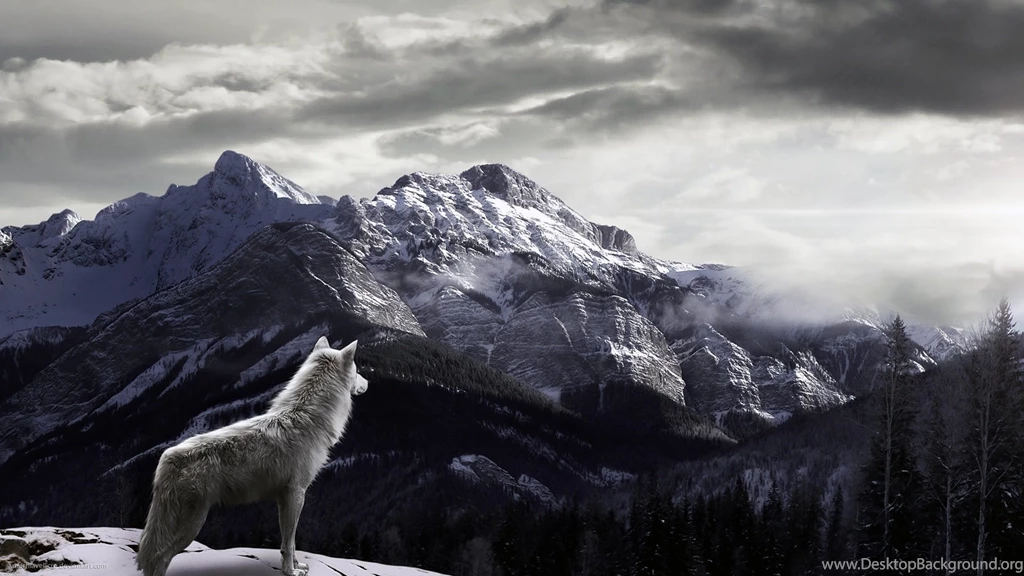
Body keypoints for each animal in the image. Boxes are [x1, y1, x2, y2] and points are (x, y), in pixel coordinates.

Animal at [136, 336, 368, 576]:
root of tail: (167, 457)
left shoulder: (284, 498)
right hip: (192, 525)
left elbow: (289, 542)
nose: (368, 382)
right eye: (358, 371)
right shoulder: (297, 493)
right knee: (159, 558)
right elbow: (290, 541)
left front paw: (295, 565)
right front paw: (291, 571)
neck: (307, 418)